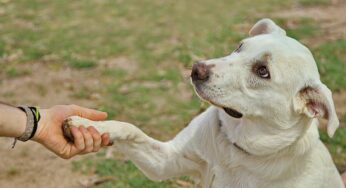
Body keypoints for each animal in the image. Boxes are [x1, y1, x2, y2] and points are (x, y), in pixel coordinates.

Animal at [64, 18, 344, 187]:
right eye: (239, 46)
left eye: (262, 71)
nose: (196, 69)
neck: (235, 149)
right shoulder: (166, 161)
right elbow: (129, 128)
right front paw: (88, 125)